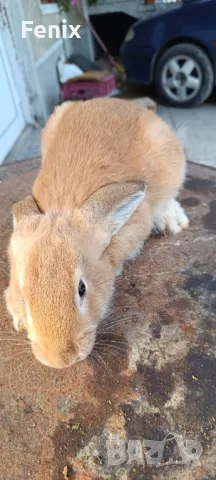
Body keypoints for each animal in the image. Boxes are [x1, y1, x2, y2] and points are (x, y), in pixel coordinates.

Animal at [4, 96, 188, 368]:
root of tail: (121, 102)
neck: (63, 206)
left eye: (82, 288)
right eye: (24, 293)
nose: (61, 360)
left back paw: (172, 219)